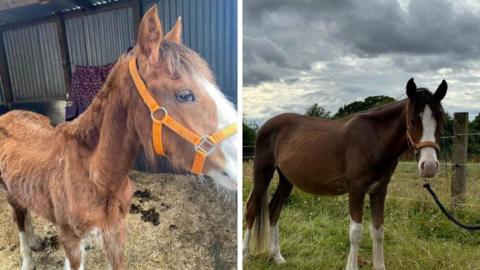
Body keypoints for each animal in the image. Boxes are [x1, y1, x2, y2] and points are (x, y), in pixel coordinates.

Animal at [0, 6, 238, 270]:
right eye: (185, 95)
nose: (238, 161)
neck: (93, 174)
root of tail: (9, 113)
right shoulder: (71, 241)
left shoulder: (115, 233)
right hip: (9, 193)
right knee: (19, 219)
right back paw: (27, 258)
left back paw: (36, 242)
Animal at [246, 78, 448, 270]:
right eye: (412, 121)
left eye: (440, 122)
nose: (429, 166)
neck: (374, 139)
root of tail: (266, 125)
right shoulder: (356, 189)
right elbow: (356, 232)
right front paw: (352, 266)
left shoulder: (379, 190)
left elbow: (378, 231)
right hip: (262, 173)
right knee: (252, 208)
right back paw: (245, 254)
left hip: (286, 180)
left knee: (274, 210)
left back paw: (277, 257)